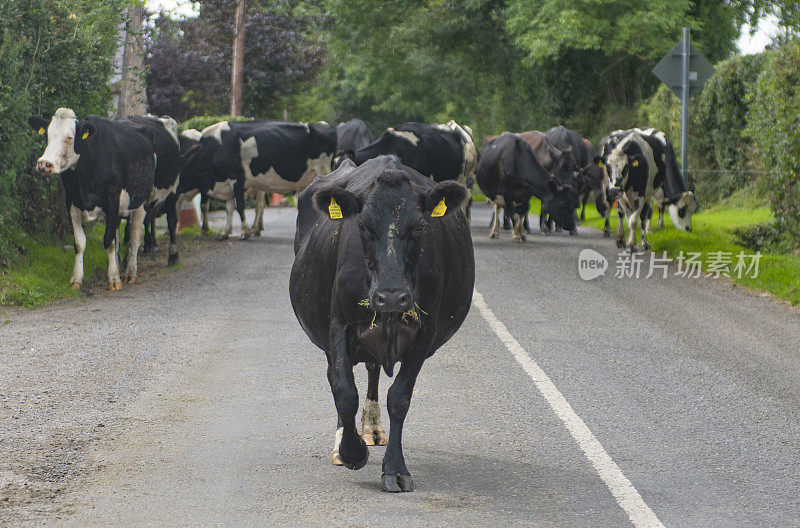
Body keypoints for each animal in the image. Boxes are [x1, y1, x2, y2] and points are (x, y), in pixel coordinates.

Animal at [29, 107, 156, 288]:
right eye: (47, 134)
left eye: (69, 137)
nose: (44, 164)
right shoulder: (72, 203)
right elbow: (79, 243)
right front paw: (77, 278)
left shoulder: (112, 201)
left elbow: (108, 240)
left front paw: (114, 279)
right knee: (119, 237)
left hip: (141, 201)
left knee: (135, 236)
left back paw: (130, 273)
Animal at [290, 155, 472, 492]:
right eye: (362, 226)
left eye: (420, 227)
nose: (391, 297)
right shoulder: (338, 323)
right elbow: (345, 391)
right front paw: (351, 451)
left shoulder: (425, 333)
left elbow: (399, 398)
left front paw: (395, 468)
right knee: (336, 378)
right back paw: (343, 442)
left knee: (373, 371)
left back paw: (372, 428)